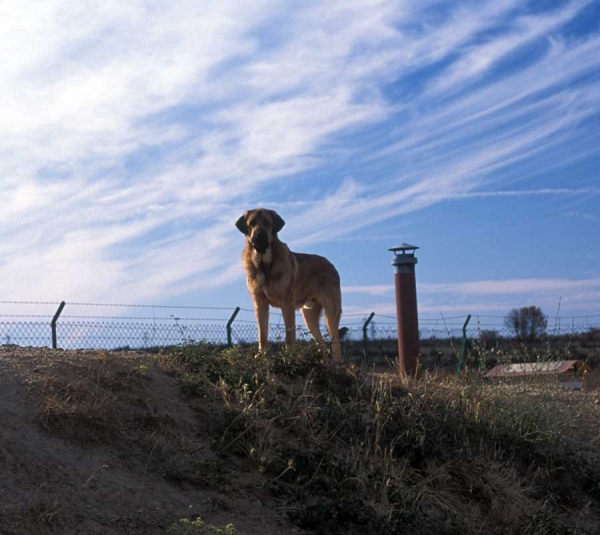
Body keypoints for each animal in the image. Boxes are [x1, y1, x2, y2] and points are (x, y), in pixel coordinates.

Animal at [237, 207, 344, 362]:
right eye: (252, 223)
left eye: (267, 223)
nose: (259, 235)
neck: (264, 265)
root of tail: (330, 264)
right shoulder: (260, 303)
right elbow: (262, 334)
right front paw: (262, 356)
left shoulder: (286, 303)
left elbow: (289, 334)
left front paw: (289, 356)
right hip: (309, 316)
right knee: (322, 344)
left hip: (331, 311)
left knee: (335, 342)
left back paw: (336, 363)